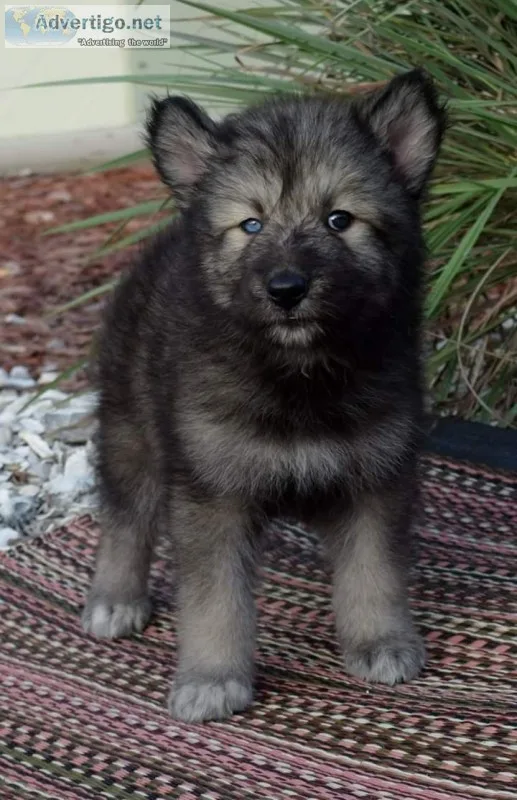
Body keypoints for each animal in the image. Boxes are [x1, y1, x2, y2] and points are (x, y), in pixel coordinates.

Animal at [82, 69, 446, 722]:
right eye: (251, 225)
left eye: (339, 220)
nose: (286, 288)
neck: (299, 377)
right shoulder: (213, 495)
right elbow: (215, 600)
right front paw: (212, 679)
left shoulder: (376, 480)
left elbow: (373, 573)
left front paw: (380, 641)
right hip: (131, 430)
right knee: (126, 519)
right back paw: (115, 598)